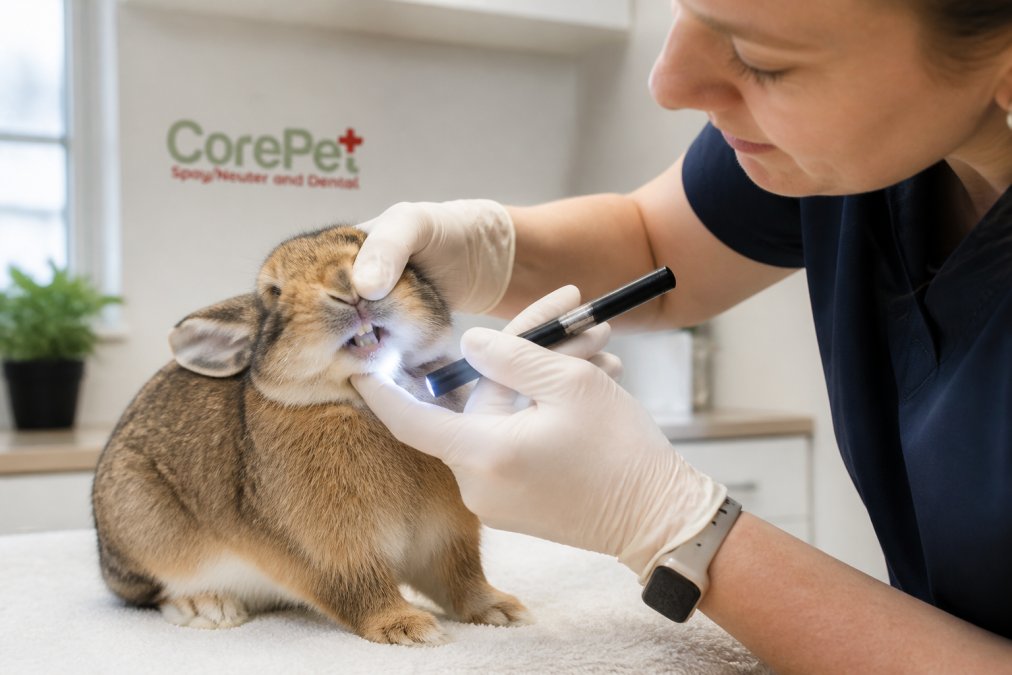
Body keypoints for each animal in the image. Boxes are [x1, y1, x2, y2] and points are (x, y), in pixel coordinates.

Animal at [92, 225, 530, 645]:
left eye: (365, 249)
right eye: (274, 292)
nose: (345, 284)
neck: (358, 402)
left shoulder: (446, 537)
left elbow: (461, 578)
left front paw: (503, 611)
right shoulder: (331, 550)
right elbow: (359, 588)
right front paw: (408, 628)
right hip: (143, 525)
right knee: (154, 594)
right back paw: (207, 608)